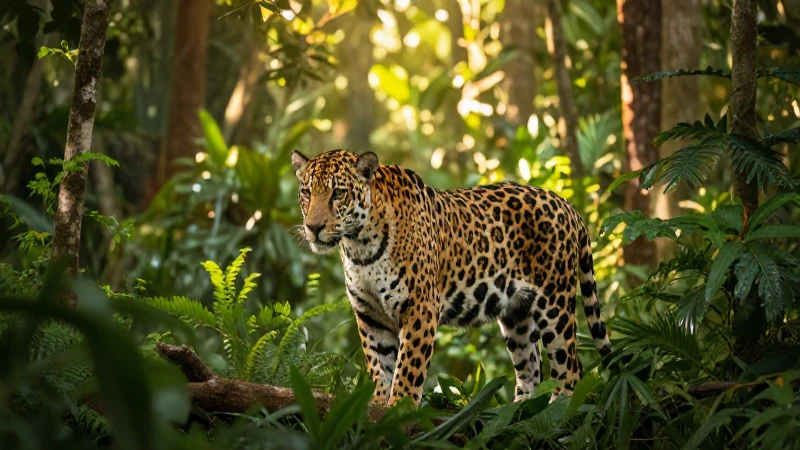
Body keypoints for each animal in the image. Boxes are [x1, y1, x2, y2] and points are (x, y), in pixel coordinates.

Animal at [291, 148, 612, 406]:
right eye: (306, 193)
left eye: (338, 193)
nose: (313, 227)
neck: (359, 246)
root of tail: (566, 204)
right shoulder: (370, 314)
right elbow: (379, 365)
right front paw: (377, 405)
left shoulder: (420, 308)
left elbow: (407, 368)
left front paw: (399, 408)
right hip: (517, 316)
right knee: (531, 370)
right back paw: (517, 411)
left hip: (554, 305)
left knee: (570, 367)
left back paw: (557, 410)